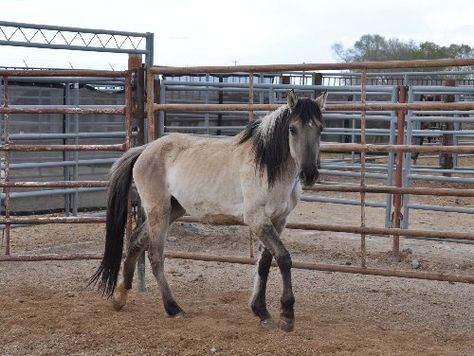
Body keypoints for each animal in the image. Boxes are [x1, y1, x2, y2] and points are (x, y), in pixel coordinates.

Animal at [90, 89, 326, 330]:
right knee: (155, 256)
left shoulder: (278, 221)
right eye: (292, 129)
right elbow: (284, 259)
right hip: (159, 210)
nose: (309, 174)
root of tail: (145, 149)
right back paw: (173, 308)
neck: (267, 167)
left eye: (320, 128)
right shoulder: (257, 220)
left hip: (173, 209)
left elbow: (265, 264)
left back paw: (120, 296)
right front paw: (286, 316)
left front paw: (261, 311)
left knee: (136, 240)